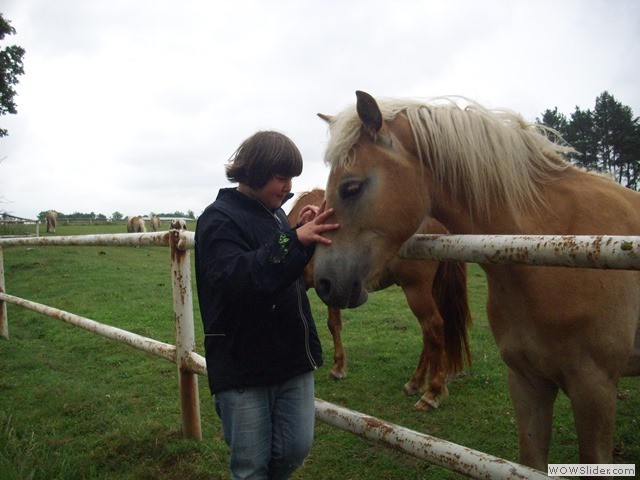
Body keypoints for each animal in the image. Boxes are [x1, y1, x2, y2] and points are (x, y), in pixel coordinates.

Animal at [284, 188, 470, 408]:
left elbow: (331, 324)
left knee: (432, 326)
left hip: (416, 289)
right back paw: (416, 383)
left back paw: (432, 392)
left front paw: (337, 368)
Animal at [314, 91, 640, 468]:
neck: (553, 245)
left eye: (351, 187)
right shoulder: (526, 380)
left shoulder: (595, 388)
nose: (323, 282)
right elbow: (530, 460)